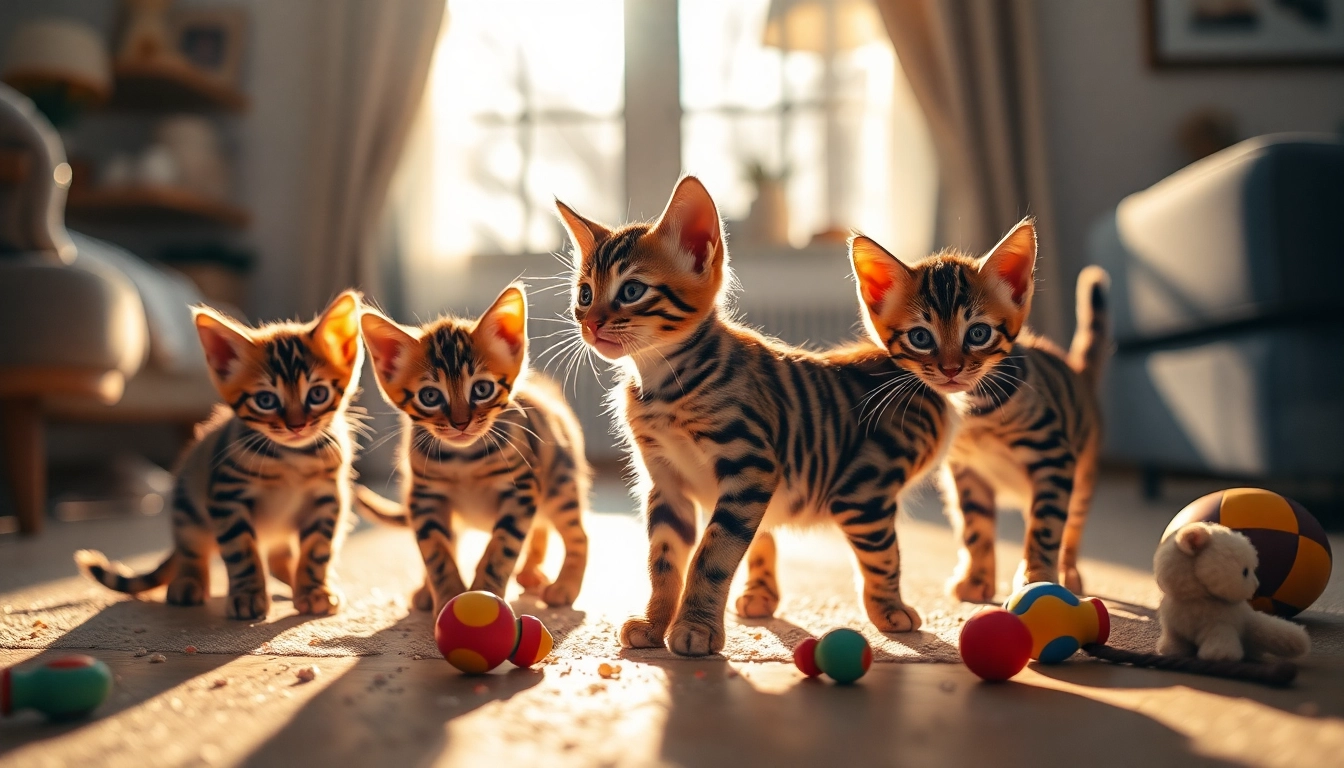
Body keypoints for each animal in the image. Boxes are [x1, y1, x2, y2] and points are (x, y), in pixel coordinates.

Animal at [76, 291, 365, 621]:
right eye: (266, 400)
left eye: (317, 394)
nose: (296, 426)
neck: (291, 458)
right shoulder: (227, 497)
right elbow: (242, 551)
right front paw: (248, 596)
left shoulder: (328, 499)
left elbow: (317, 550)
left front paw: (314, 590)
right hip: (188, 508)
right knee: (192, 549)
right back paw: (187, 583)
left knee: (278, 559)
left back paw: (295, 581)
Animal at [360, 285, 591, 616]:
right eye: (430, 396)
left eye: (482, 390)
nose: (460, 423)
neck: (464, 461)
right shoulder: (424, 497)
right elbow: (436, 553)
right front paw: (446, 596)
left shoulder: (520, 490)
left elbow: (501, 547)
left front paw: (485, 595)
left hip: (560, 482)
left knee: (575, 533)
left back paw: (565, 586)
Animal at [556, 177, 956, 659]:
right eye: (584, 294)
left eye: (632, 291)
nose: (591, 324)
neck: (663, 386)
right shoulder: (665, 482)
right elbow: (664, 561)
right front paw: (653, 625)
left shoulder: (751, 467)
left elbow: (712, 553)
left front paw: (694, 628)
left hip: (864, 493)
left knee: (881, 552)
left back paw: (890, 610)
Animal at [854, 219, 1107, 605]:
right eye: (920, 338)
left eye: (978, 333)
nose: (951, 369)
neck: (974, 412)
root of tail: (1078, 373)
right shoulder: (965, 471)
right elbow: (976, 527)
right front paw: (976, 578)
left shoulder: (1054, 458)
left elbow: (1047, 525)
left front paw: (1038, 577)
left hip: (1083, 472)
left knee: (1072, 525)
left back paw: (1069, 571)